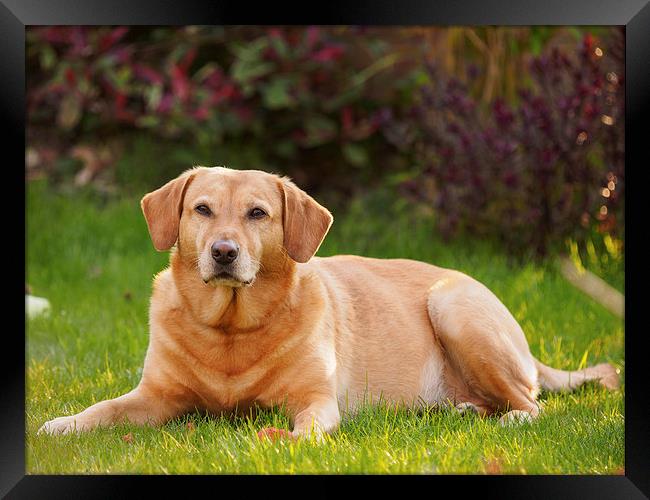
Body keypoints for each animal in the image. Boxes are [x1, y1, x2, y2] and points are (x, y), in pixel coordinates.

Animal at [39, 167, 616, 438]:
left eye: (258, 214)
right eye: (201, 209)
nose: (223, 253)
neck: (231, 329)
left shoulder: (315, 400)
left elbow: (308, 427)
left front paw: (288, 442)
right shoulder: (154, 397)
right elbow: (104, 408)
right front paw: (64, 425)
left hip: (454, 309)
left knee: (532, 404)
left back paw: (507, 419)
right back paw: (465, 408)